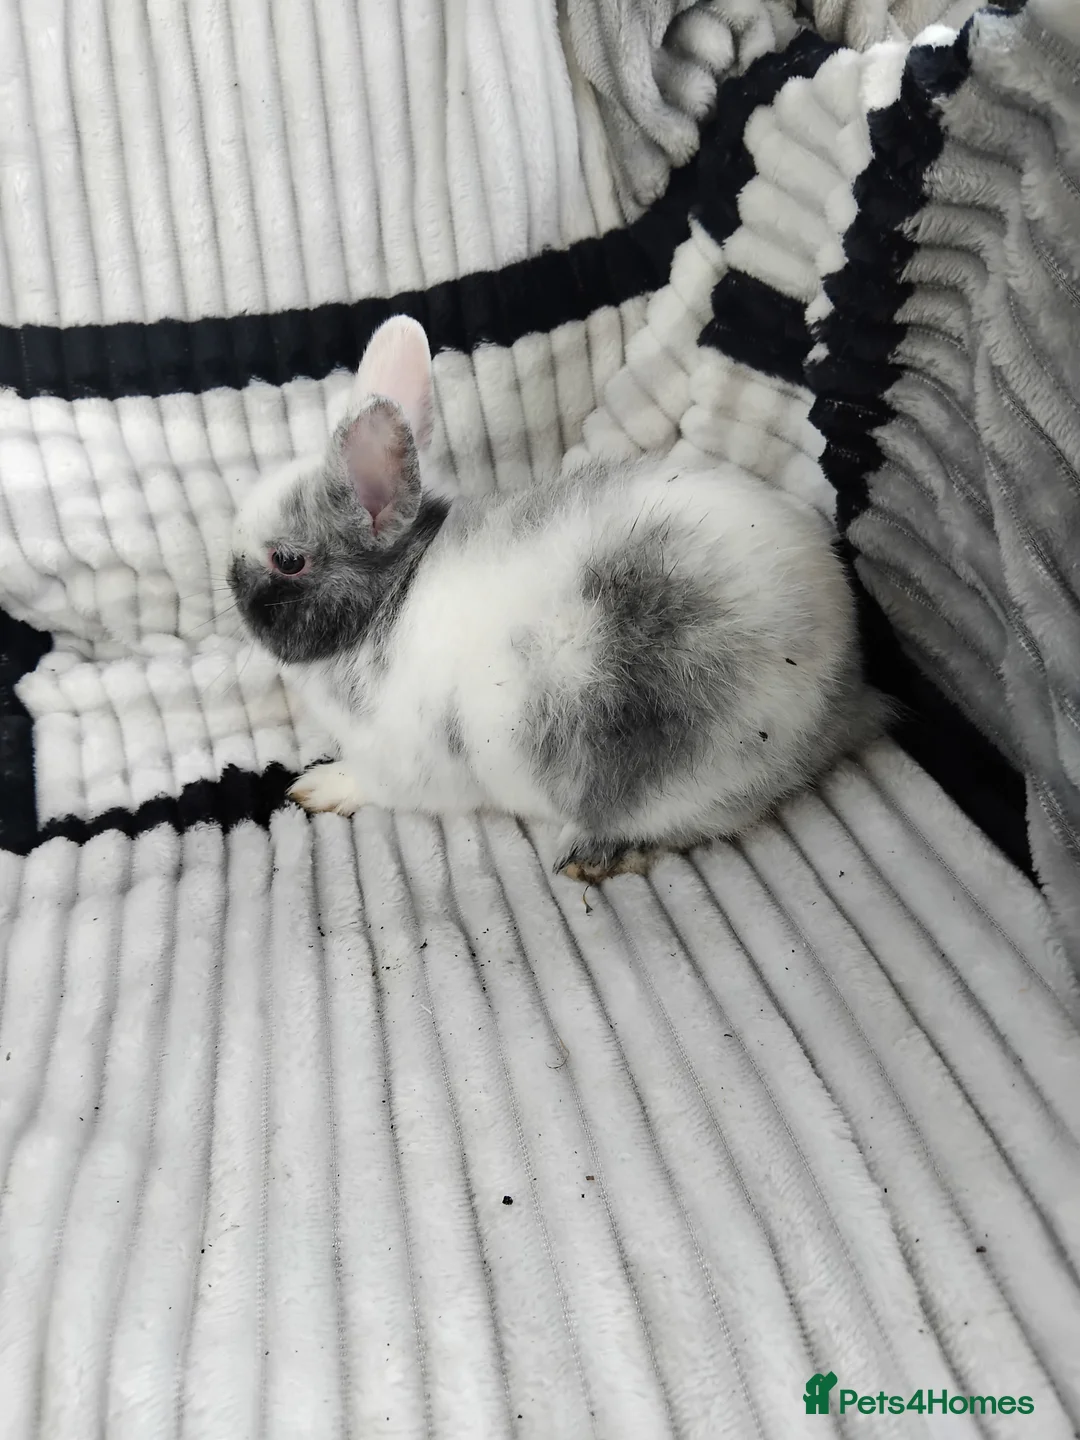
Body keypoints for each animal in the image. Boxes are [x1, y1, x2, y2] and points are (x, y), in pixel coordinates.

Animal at [227, 315, 887, 882]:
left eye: (287, 561)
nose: (230, 583)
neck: (389, 600)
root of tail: (847, 688)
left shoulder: (403, 764)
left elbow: (371, 785)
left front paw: (320, 786)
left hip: (692, 771)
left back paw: (593, 856)